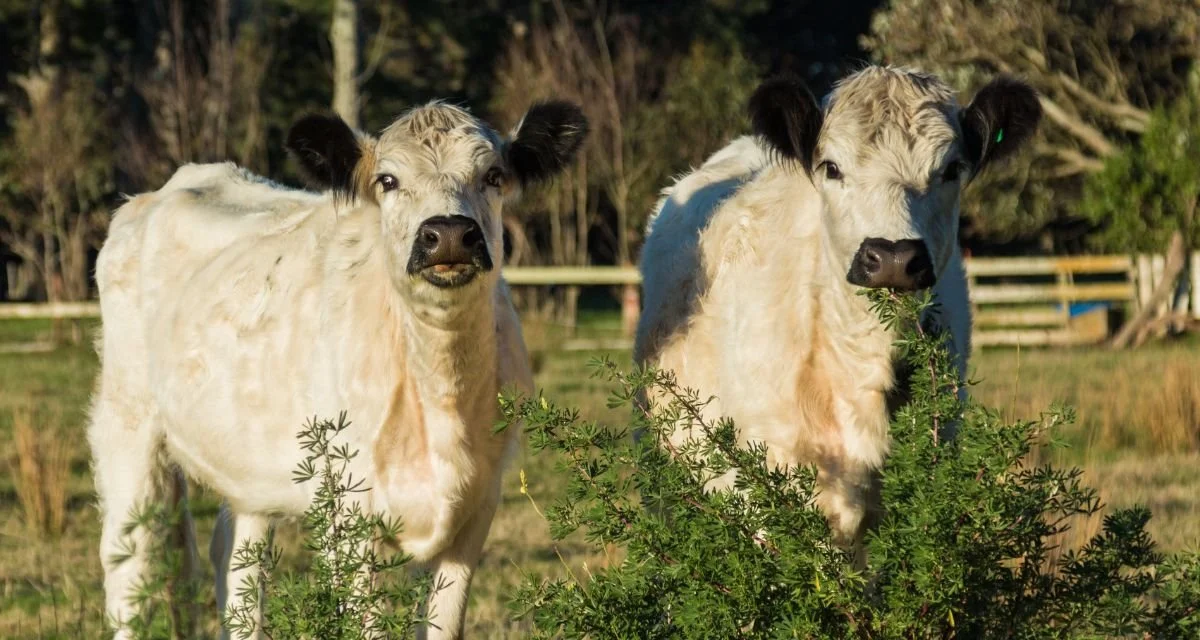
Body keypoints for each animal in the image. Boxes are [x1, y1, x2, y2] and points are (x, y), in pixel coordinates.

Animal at [87, 100, 588, 639]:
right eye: (388, 180)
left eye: (493, 175)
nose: (450, 234)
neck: (440, 394)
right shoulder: (348, 513)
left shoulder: (475, 512)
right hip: (127, 425)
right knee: (129, 569)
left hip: (244, 469)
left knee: (237, 566)